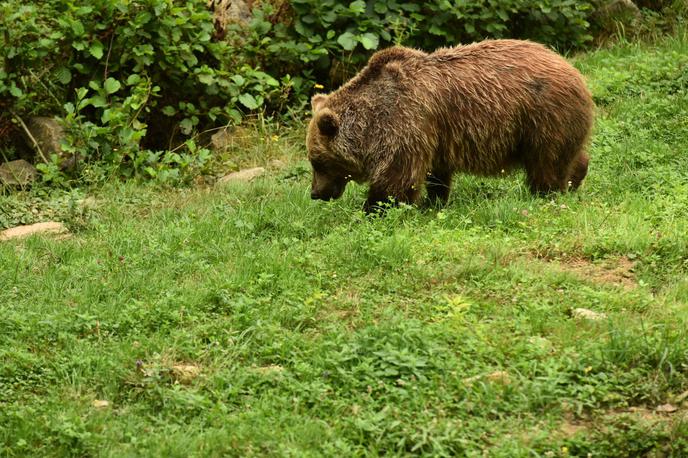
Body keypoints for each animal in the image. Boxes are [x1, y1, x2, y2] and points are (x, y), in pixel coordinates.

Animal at [304, 39, 592, 213]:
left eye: (318, 162)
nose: (315, 193)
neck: (372, 122)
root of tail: (573, 69)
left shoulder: (406, 125)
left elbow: (396, 178)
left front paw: (375, 209)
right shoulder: (434, 138)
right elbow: (436, 176)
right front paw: (432, 202)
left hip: (541, 117)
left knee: (546, 162)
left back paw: (545, 192)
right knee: (570, 155)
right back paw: (574, 179)